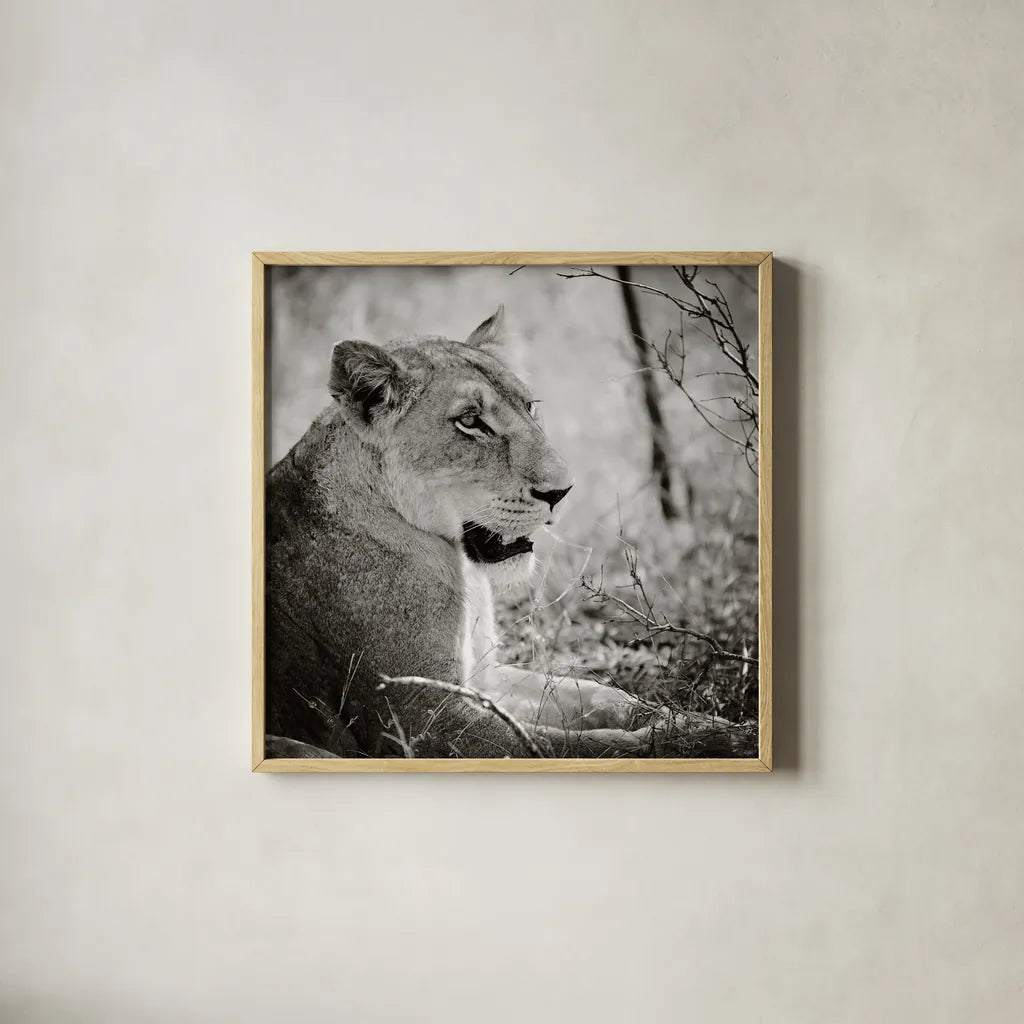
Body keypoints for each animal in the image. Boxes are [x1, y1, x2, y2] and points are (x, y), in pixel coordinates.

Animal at [264, 307, 669, 758]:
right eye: (471, 422)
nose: (562, 492)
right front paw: (688, 738)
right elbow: (565, 746)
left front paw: (669, 716)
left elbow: (595, 695)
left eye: (529, 406)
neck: (463, 569)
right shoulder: (420, 717)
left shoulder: (486, 677)